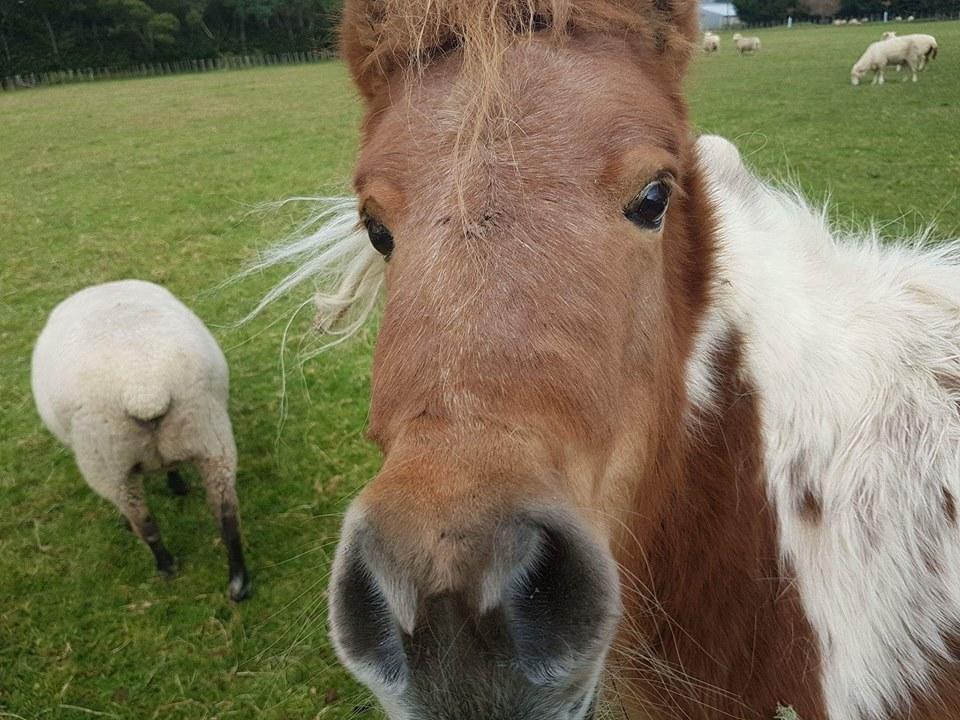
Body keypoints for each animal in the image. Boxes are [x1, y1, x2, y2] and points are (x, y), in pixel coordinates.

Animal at [32, 280, 251, 600]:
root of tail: (145, 391)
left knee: (144, 522)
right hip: (210, 436)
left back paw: (166, 566)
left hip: (107, 463)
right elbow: (172, 467)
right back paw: (239, 581)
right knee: (226, 514)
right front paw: (178, 485)